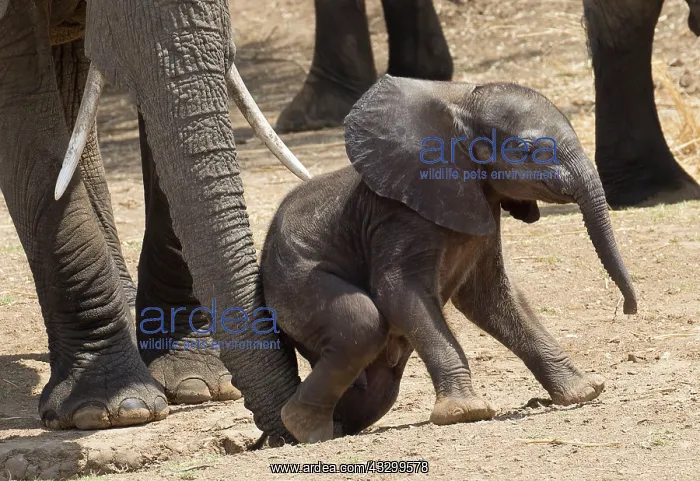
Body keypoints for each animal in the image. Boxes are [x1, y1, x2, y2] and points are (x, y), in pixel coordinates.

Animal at [260, 76, 638, 443]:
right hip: (294, 284)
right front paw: (466, 412)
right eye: (525, 150)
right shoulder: (400, 215)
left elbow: (488, 298)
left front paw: (584, 391)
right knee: (362, 324)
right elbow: (400, 290)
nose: (628, 309)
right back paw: (307, 427)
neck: (460, 105)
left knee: (375, 389)